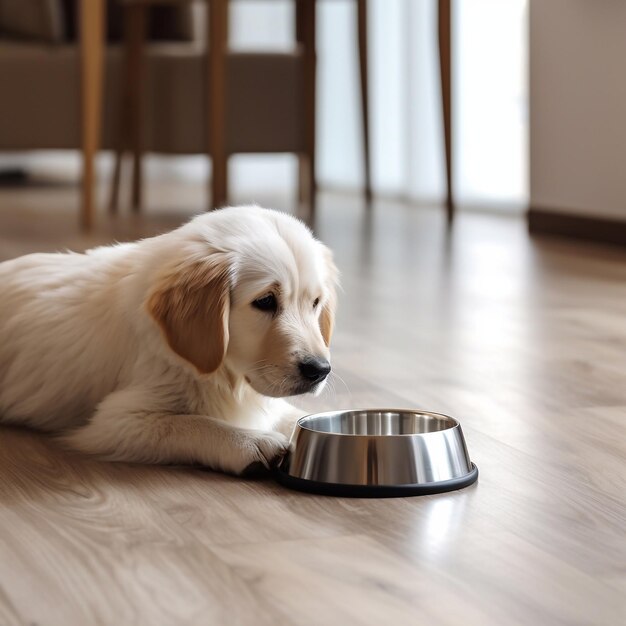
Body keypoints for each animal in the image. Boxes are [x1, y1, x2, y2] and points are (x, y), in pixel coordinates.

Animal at [0, 205, 336, 472]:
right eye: (265, 301)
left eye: (315, 302)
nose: (320, 370)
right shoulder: (116, 421)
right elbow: (192, 423)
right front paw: (252, 442)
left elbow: (294, 414)